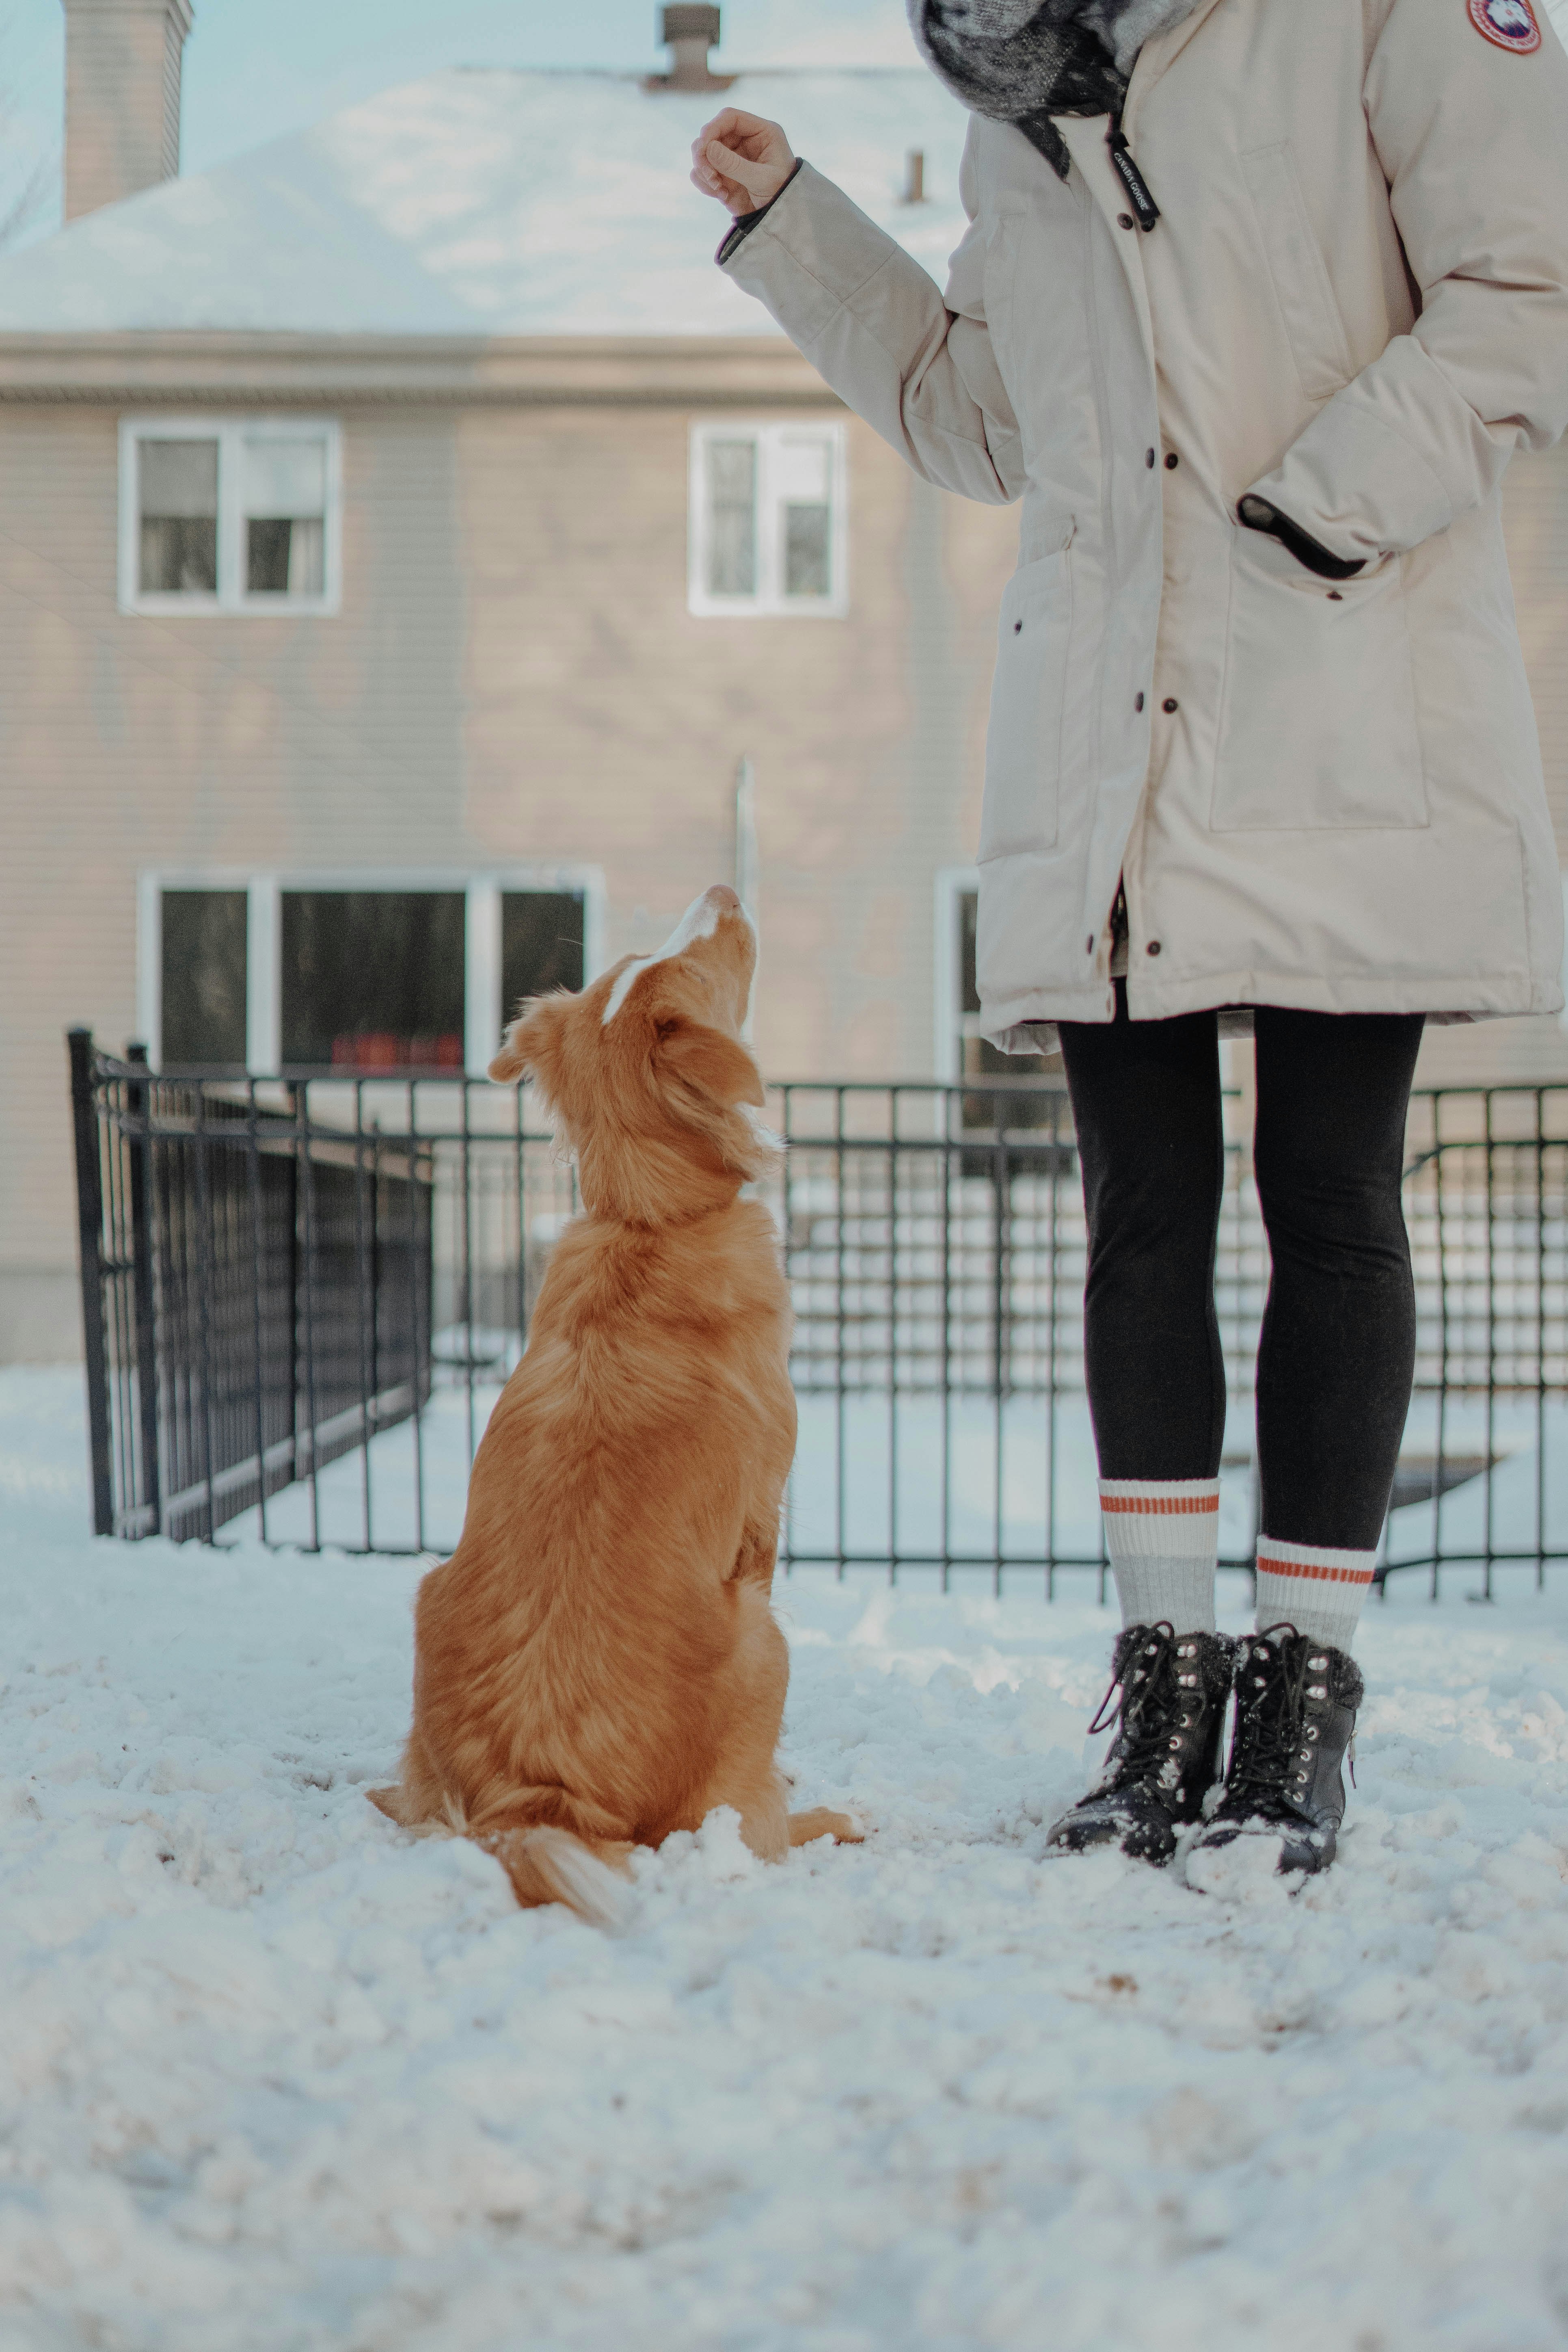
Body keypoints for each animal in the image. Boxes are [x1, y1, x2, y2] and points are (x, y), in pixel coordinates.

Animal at [371, 889, 860, 1919]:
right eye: (698, 965)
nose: (722, 893)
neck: (653, 1215)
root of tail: (539, 1797)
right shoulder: (762, 1517)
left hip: (427, 1590)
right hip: (763, 1639)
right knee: (743, 1826)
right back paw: (826, 1815)